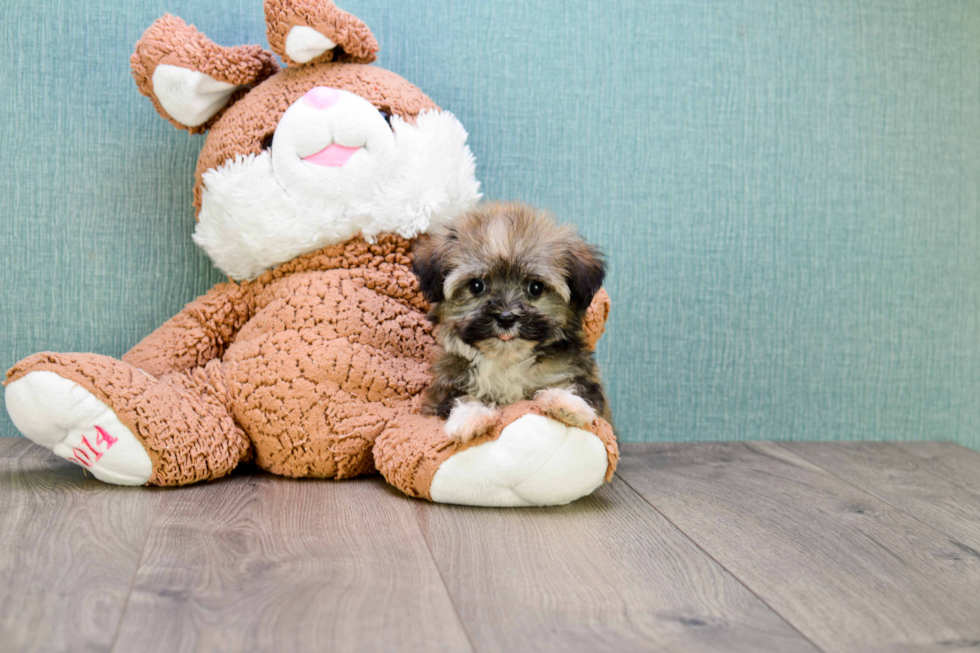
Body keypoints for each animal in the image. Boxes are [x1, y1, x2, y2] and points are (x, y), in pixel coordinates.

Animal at [410, 201, 608, 440]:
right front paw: (470, 417)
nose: (506, 317)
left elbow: (579, 387)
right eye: (476, 285)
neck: (507, 360)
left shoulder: (575, 371)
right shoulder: (443, 386)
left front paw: (566, 402)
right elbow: (456, 398)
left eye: (535, 287)